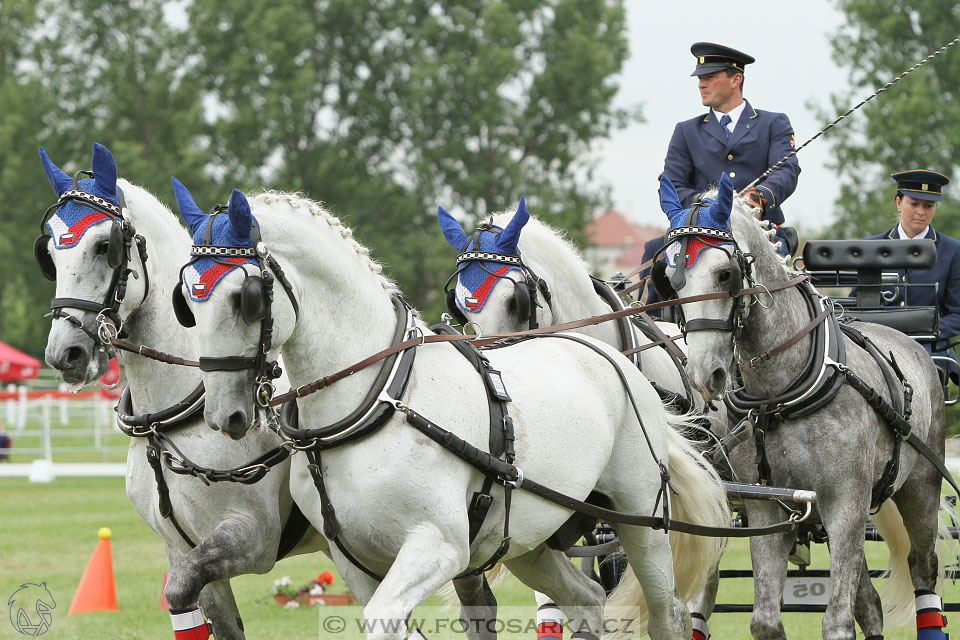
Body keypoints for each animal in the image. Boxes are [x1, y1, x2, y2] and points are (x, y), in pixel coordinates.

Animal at [38, 145, 326, 640]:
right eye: (50, 253)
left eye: (104, 246)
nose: (65, 353)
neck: (173, 416)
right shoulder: (182, 551)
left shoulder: (253, 537)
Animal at [171, 186, 728, 640]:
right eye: (188, 304)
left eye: (245, 297)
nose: (223, 413)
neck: (374, 403)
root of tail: (612, 357)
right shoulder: (353, 562)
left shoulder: (439, 546)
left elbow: (386, 619)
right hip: (531, 538)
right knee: (589, 602)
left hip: (642, 519)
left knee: (668, 613)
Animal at [656, 171, 956, 640]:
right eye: (672, 280)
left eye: (725, 273)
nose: (706, 374)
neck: (779, 395)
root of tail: (912, 343)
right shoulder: (767, 508)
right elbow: (765, 620)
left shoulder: (845, 502)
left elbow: (837, 622)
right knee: (869, 603)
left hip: (919, 487)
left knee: (923, 573)